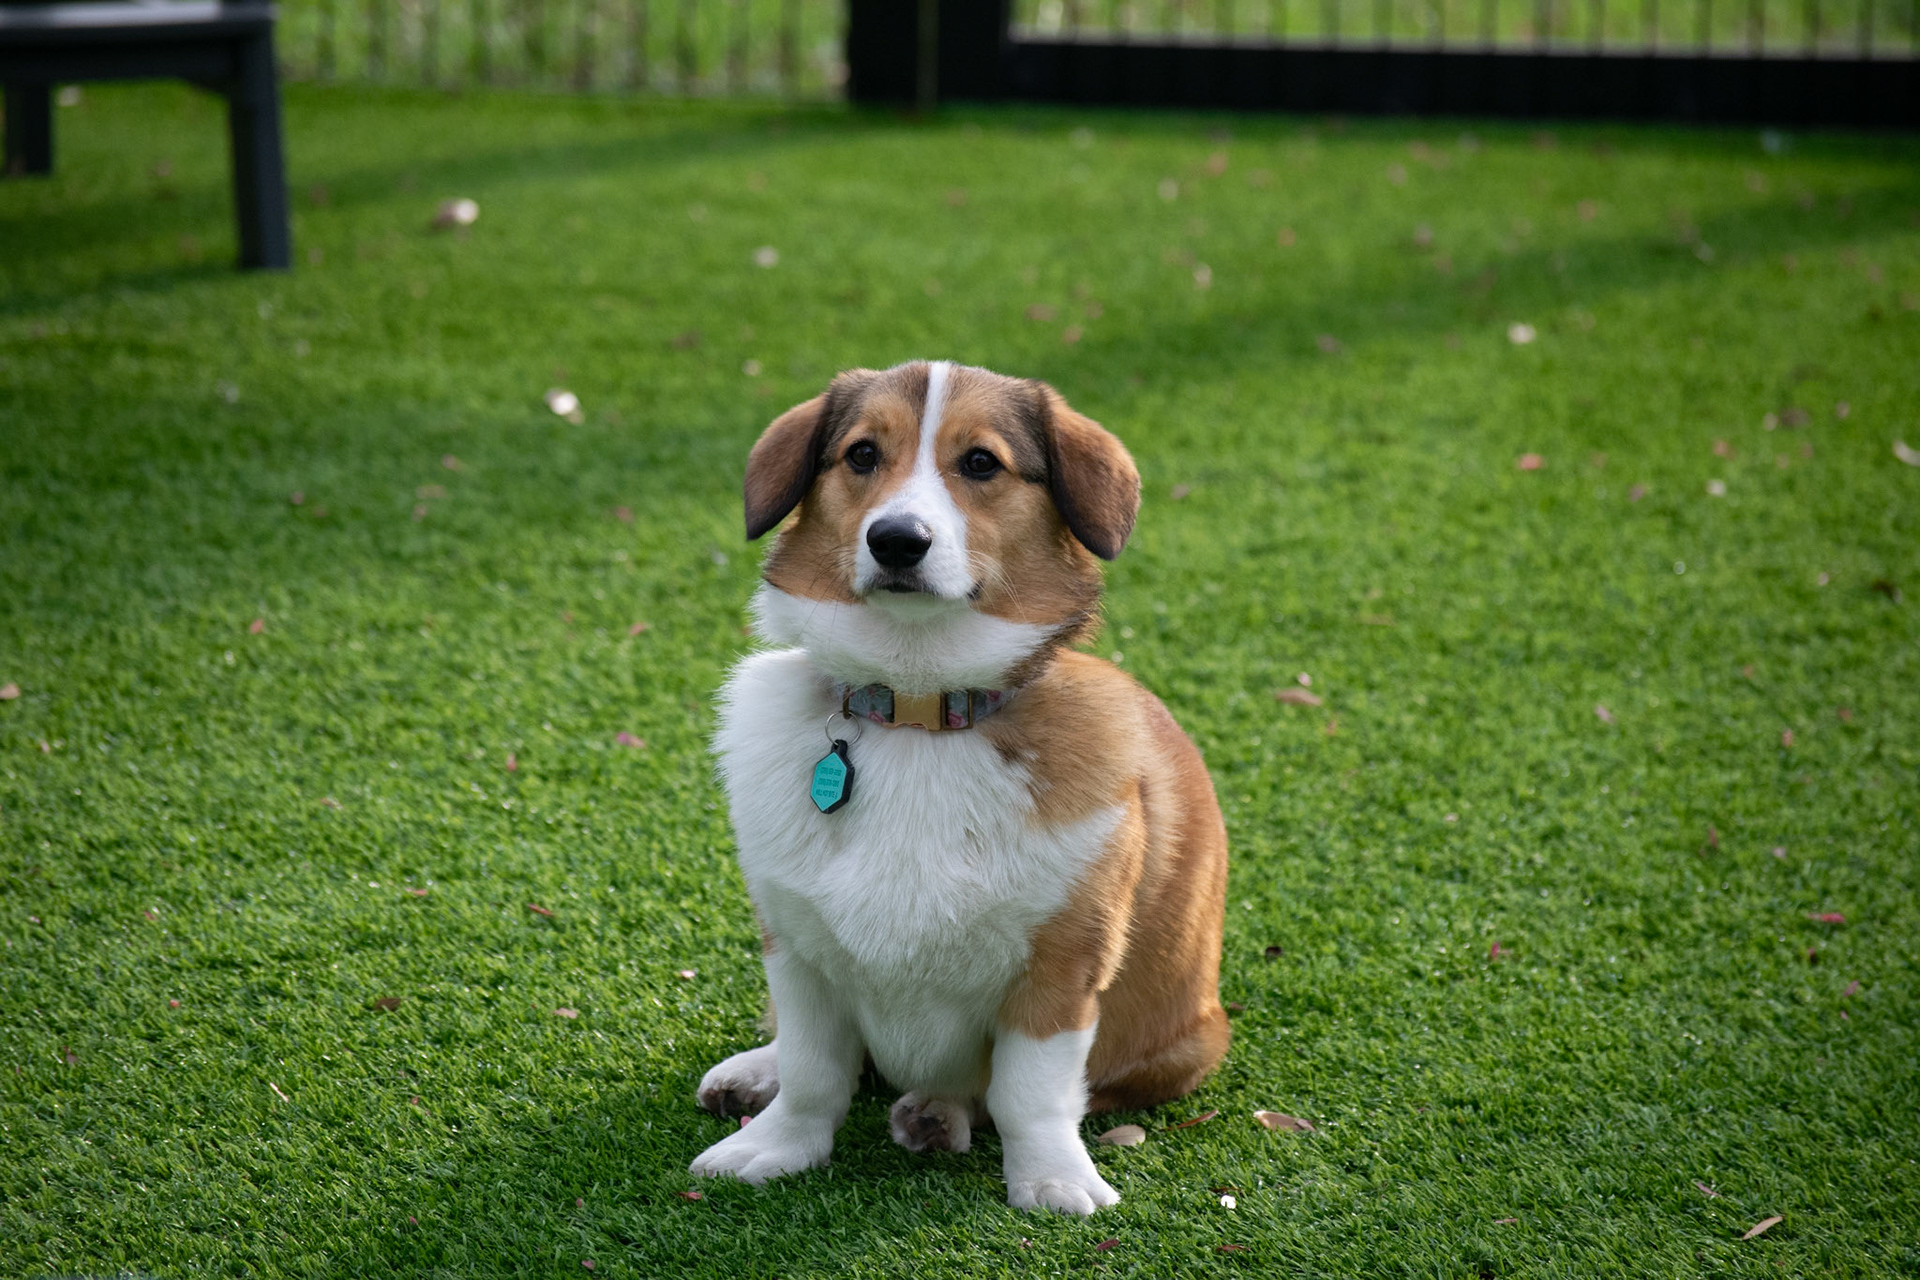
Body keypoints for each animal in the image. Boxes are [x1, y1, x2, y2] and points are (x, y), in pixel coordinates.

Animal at [690, 360, 1229, 1215]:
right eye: (862, 454)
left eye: (981, 463)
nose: (896, 540)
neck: (918, 711)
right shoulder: (797, 949)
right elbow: (814, 1069)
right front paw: (774, 1145)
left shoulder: (1063, 966)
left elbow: (1029, 1090)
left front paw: (1051, 1178)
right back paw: (755, 1074)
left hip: (1188, 1043)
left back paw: (936, 1113)